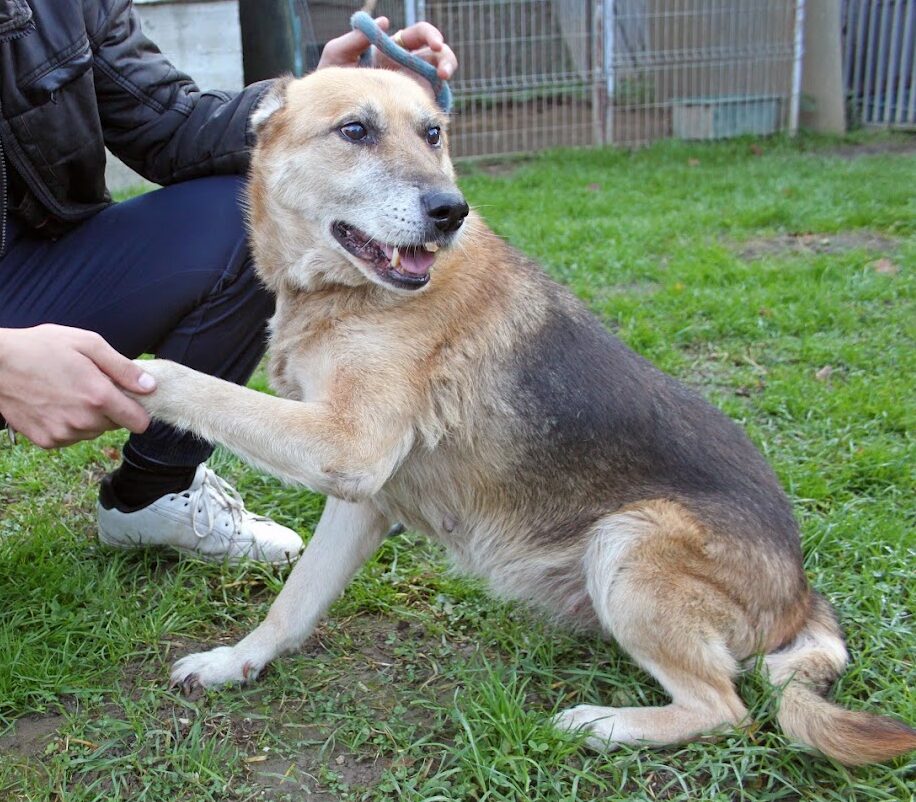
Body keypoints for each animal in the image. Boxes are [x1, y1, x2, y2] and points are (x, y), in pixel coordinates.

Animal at [131, 67, 916, 765]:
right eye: (355, 130)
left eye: (434, 132)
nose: (450, 210)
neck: (342, 294)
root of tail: (801, 593)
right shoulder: (363, 499)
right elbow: (293, 604)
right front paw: (238, 663)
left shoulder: (346, 447)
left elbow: (189, 383)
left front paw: (128, 370)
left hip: (626, 541)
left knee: (725, 709)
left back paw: (601, 724)